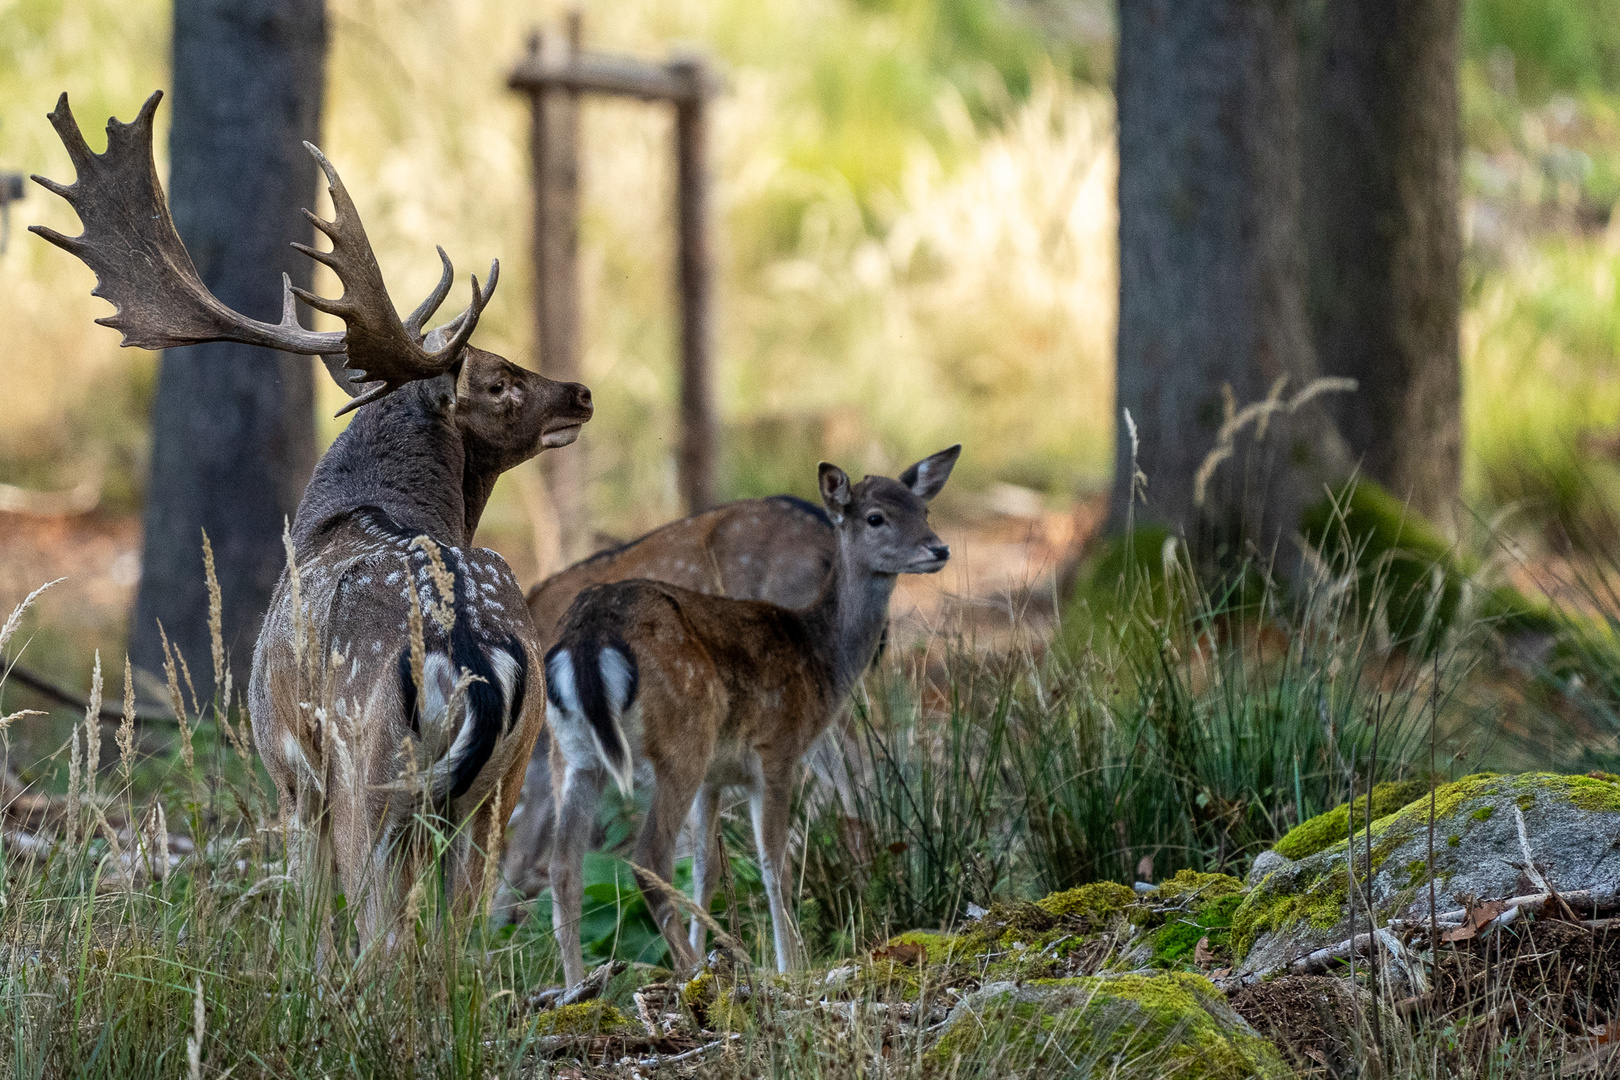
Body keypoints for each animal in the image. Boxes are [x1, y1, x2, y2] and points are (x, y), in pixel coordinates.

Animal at [34, 90, 596, 939]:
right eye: (499, 379)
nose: (580, 393)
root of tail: (468, 655)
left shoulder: (288, 764)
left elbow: (308, 921)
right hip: (504, 778)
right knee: (458, 940)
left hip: (373, 771)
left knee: (378, 937)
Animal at [544, 443, 952, 984]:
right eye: (875, 517)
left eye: (924, 509)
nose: (939, 549)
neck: (820, 658)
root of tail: (588, 638)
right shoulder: (777, 748)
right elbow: (774, 863)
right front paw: (788, 965)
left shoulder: (716, 777)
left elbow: (705, 868)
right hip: (681, 741)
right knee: (647, 857)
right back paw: (689, 970)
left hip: (571, 754)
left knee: (563, 867)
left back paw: (577, 986)